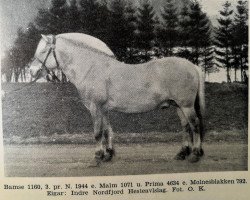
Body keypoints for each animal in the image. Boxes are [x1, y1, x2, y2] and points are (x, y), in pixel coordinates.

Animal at [29, 33, 205, 166]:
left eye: (43, 51)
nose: (32, 71)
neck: (91, 68)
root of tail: (192, 66)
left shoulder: (95, 107)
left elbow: (98, 133)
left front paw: (97, 157)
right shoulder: (103, 109)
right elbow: (107, 130)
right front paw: (108, 155)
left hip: (186, 105)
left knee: (195, 124)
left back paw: (195, 154)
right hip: (178, 106)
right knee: (185, 126)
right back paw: (182, 153)